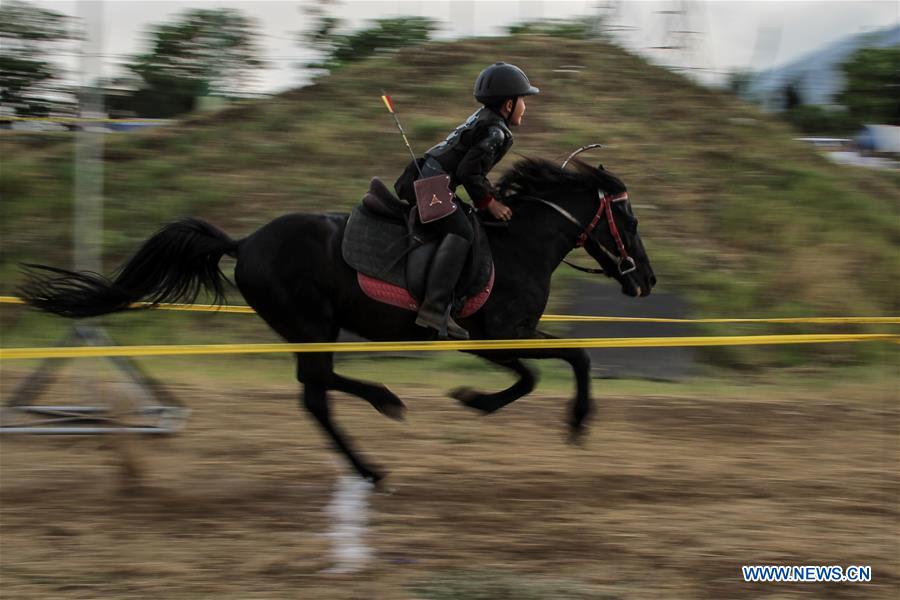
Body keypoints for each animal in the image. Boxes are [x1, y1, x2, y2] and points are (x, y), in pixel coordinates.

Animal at [19, 157, 652, 480]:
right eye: (630, 219)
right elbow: (546, 369)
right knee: (316, 393)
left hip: (310, 328)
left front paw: (489, 403)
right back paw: (374, 451)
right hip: (309, 324)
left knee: (318, 386)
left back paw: (380, 415)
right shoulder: (491, 338)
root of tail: (244, 242)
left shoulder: (508, 336)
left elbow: (563, 361)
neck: (517, 245)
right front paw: (555, 419)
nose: (644, 281)